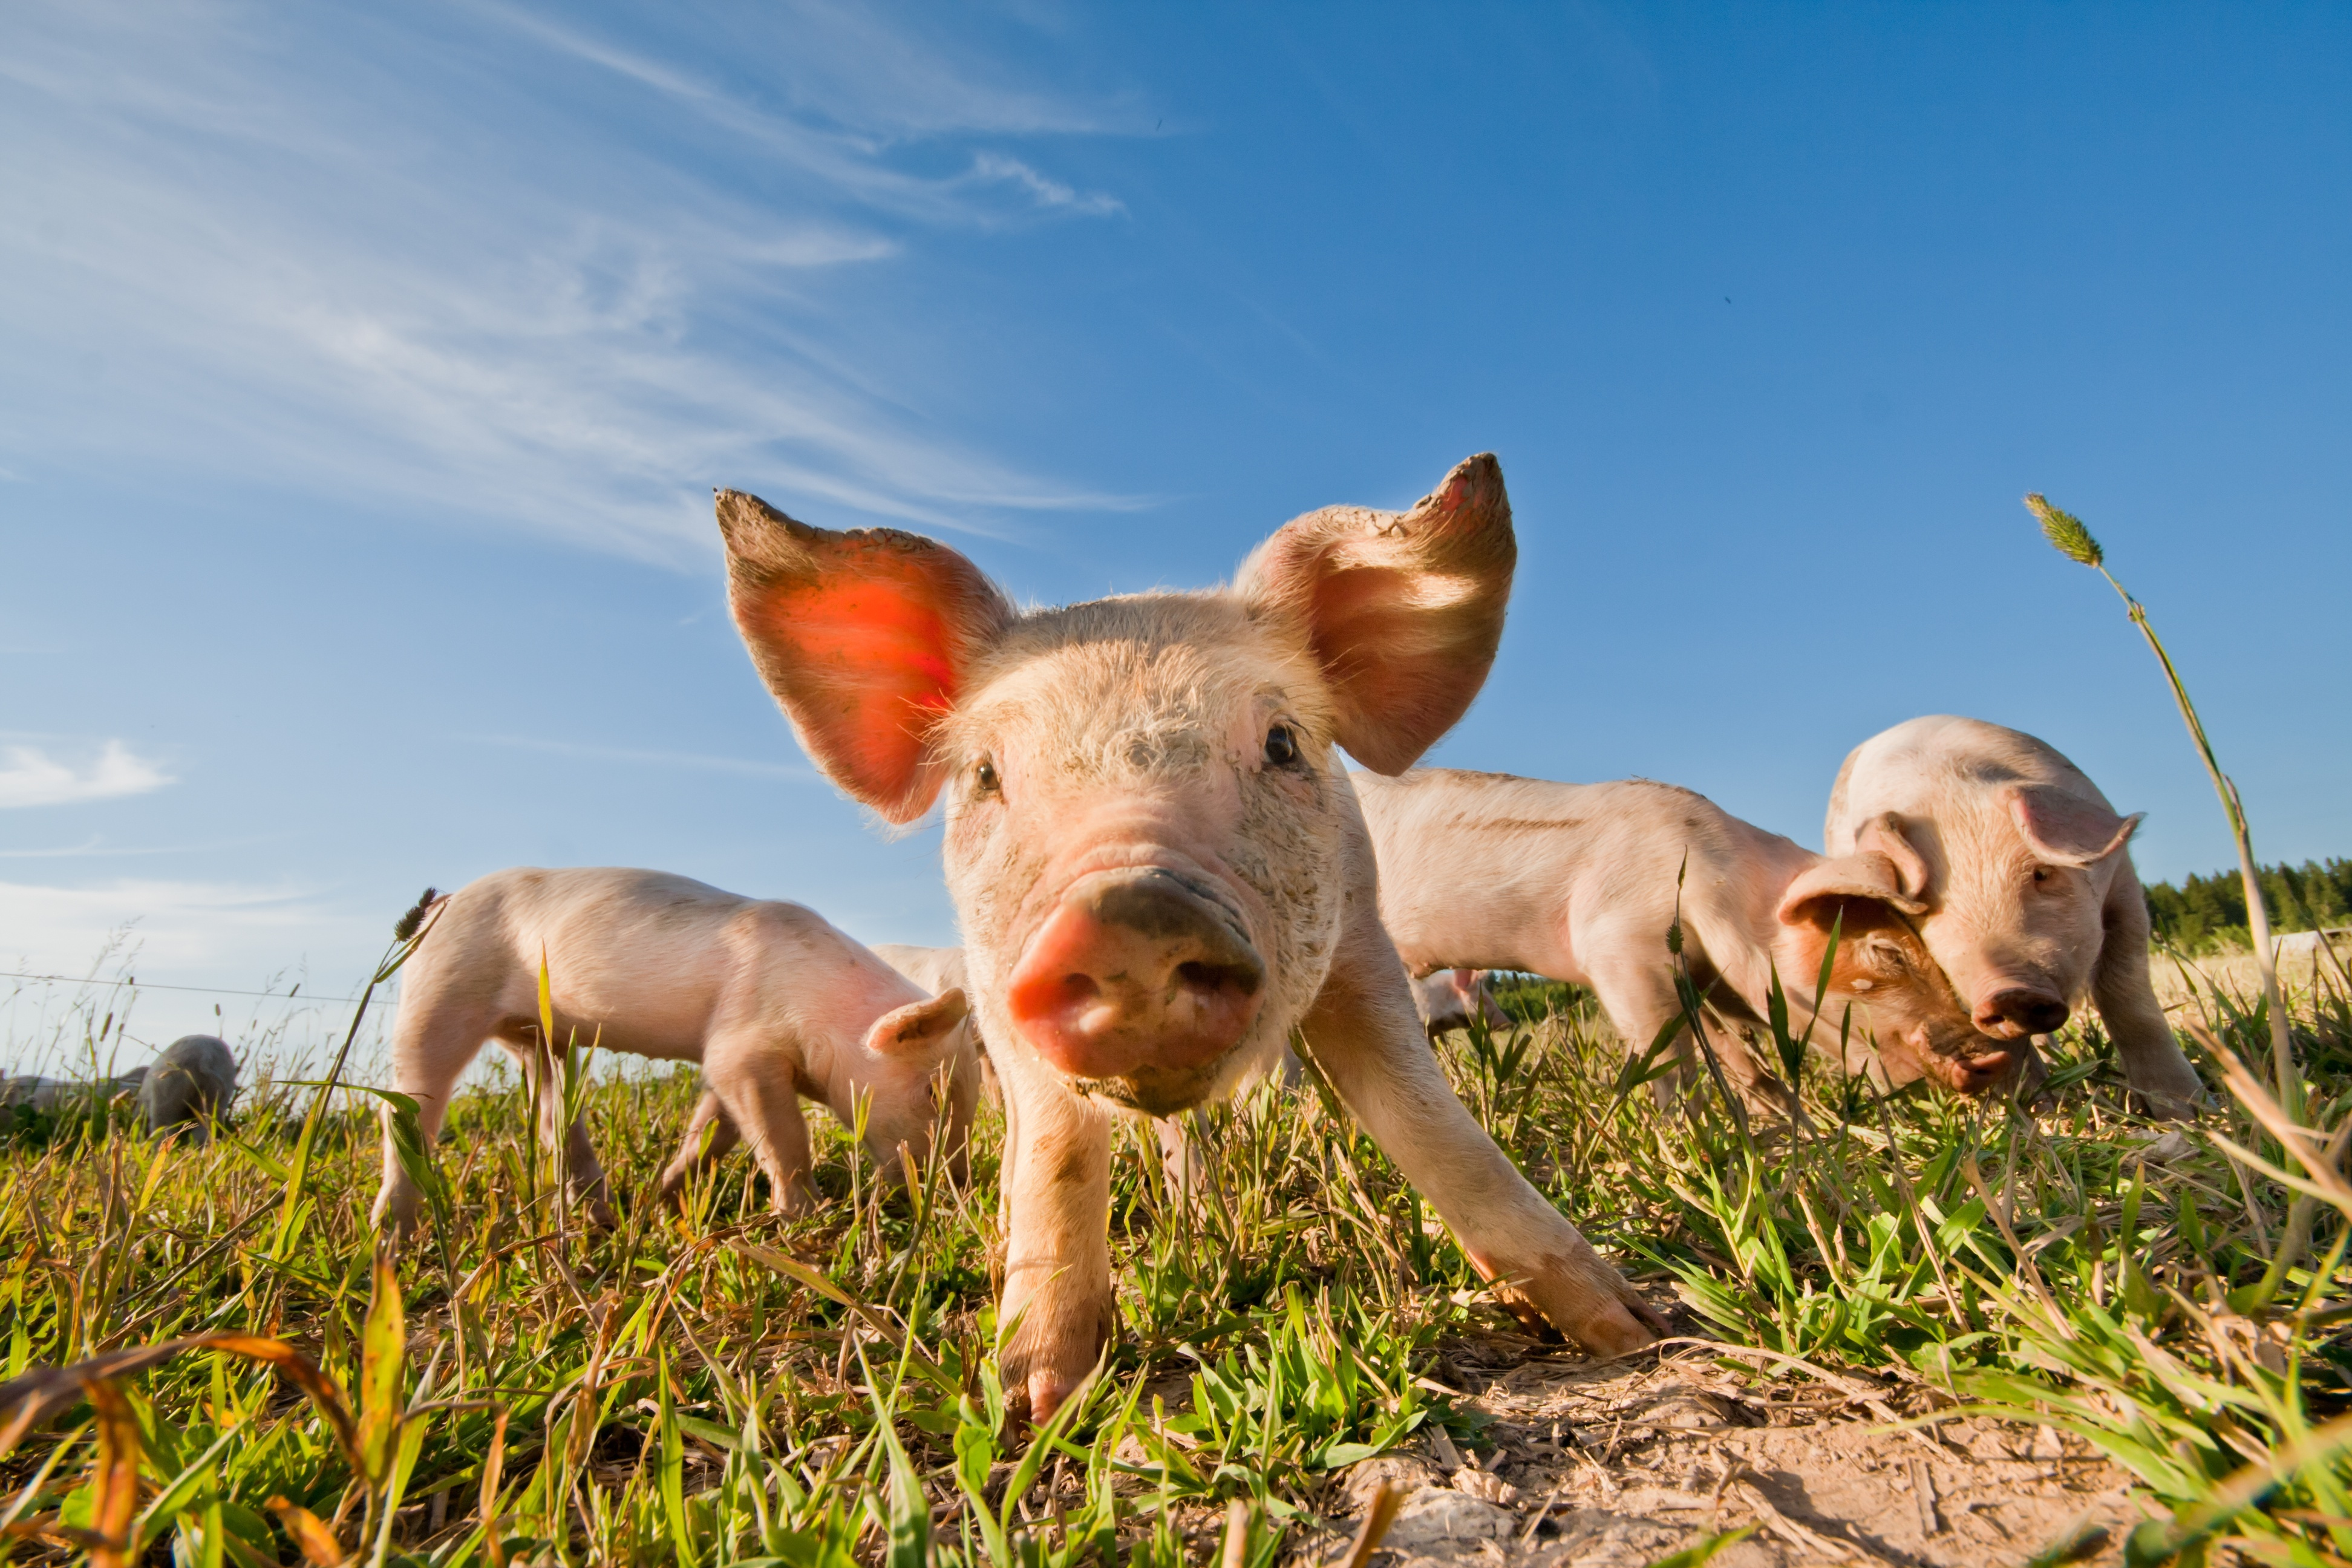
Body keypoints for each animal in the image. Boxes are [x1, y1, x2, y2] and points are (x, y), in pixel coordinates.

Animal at [371, 867, 978, 1233]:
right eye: (932, 1091)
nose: (960, 1185)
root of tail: (443, 901)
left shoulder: (726, 1061)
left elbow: (714, 1129)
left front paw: (661, 1200)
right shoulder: (741, 1042)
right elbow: (781, 1134)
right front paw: (805, 1217)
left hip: (541, 1038)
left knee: (553, 1113)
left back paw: (602, 1215)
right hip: (440, 988)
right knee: (410, 1106)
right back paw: (391, 1236)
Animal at [1824, 716, 2206, 1117]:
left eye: (2041, 873)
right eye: (1926, 907)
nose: (2008, 993)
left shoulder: (2123, 883)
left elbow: (2126, 992)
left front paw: (2187, 1113)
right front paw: (2037, 1113)